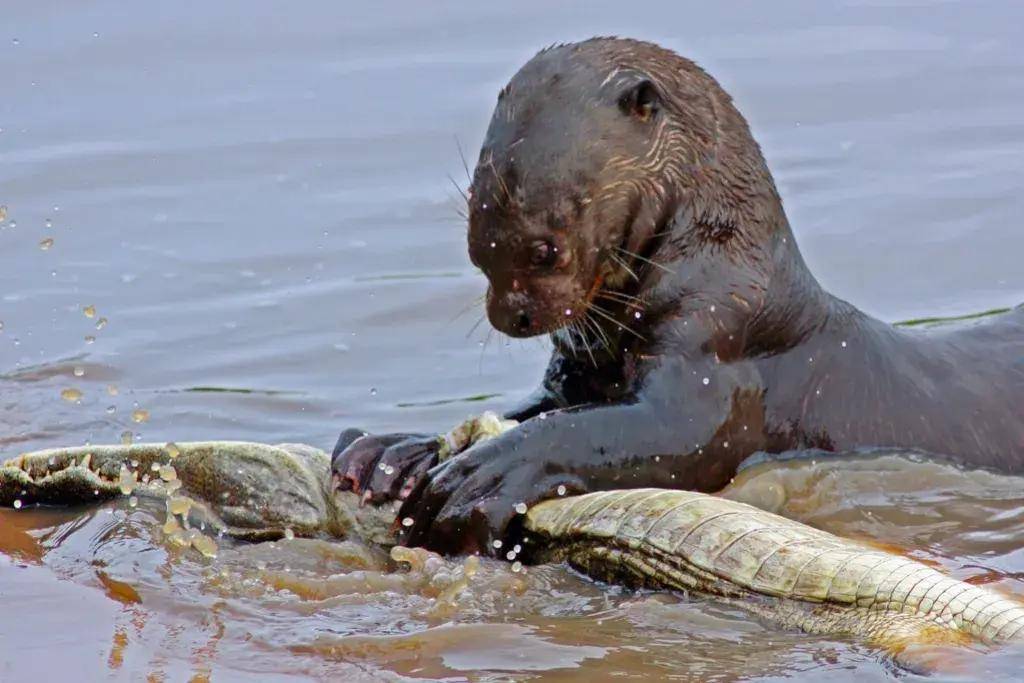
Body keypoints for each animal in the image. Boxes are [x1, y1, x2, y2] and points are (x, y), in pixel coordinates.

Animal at [331, 37, 1019, 557]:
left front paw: (479, 478)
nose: (511, 316)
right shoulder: (580, 372)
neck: (722, 270)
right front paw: (393, 452)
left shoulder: (717, 347)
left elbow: (652, 431)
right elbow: (545, 408)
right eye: (476, 246)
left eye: (546, 250)